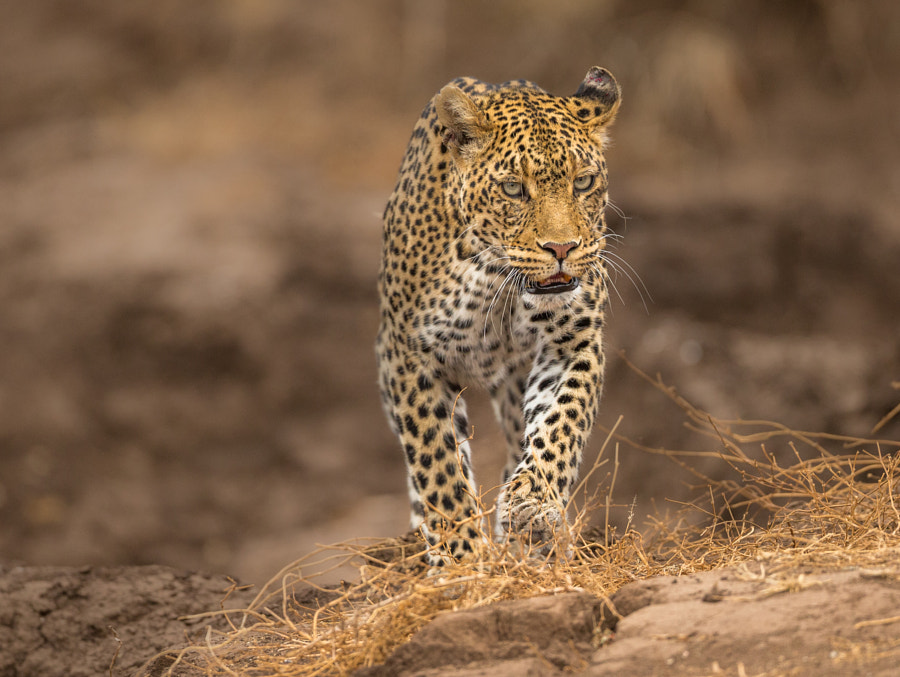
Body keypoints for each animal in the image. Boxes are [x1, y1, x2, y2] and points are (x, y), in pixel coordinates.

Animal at [376, 66, 624, 564]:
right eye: (513, 188)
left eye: (583, 183)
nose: (562, 249)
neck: (495, 275)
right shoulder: (410, 358)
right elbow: (438, 465)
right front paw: (462, 561)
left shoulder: (574, 342)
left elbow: (561, 421)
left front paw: (532, 502)